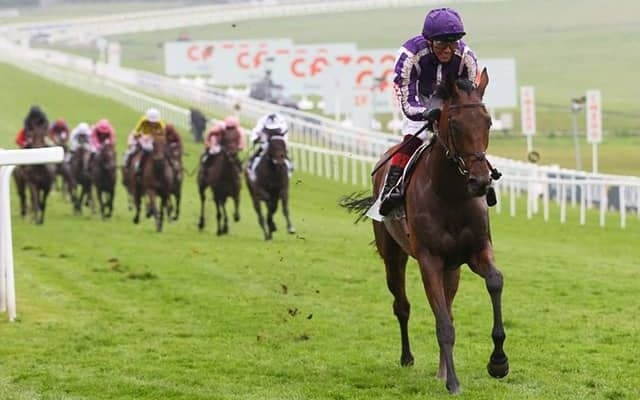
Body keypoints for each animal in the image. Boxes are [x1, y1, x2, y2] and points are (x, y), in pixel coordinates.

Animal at [340, 70, 508, 394]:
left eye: (488, 122)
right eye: (454, 124)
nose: (481, 181)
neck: (451, 194)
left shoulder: (476, 251)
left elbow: (494, 282)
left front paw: (498, 362)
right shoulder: (429, 259)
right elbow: (442, 323)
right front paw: (454, 382)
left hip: (452, 268)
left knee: (447, 306)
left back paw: (442, 369)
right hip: (394, 256)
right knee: (402, 305)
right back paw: (407, 357)